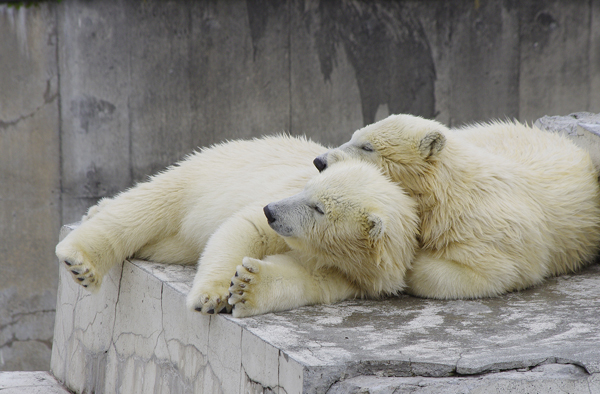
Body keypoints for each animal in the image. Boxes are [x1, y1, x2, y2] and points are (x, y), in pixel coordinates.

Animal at [56, 135, 420, 318]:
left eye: (318, 208)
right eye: (306, 188)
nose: (272, 210)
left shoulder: (356, 274)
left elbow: (308, 278)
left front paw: (247, 286)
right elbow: (244, 229)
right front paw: (211, 297)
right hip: (209, 172)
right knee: (152, 204)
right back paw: (81, 261)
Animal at [312, 114, 600, 298]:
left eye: (367, 146)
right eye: (352, 136)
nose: (319, 161)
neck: (446, 190)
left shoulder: (485, 224)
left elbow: (494, 270)